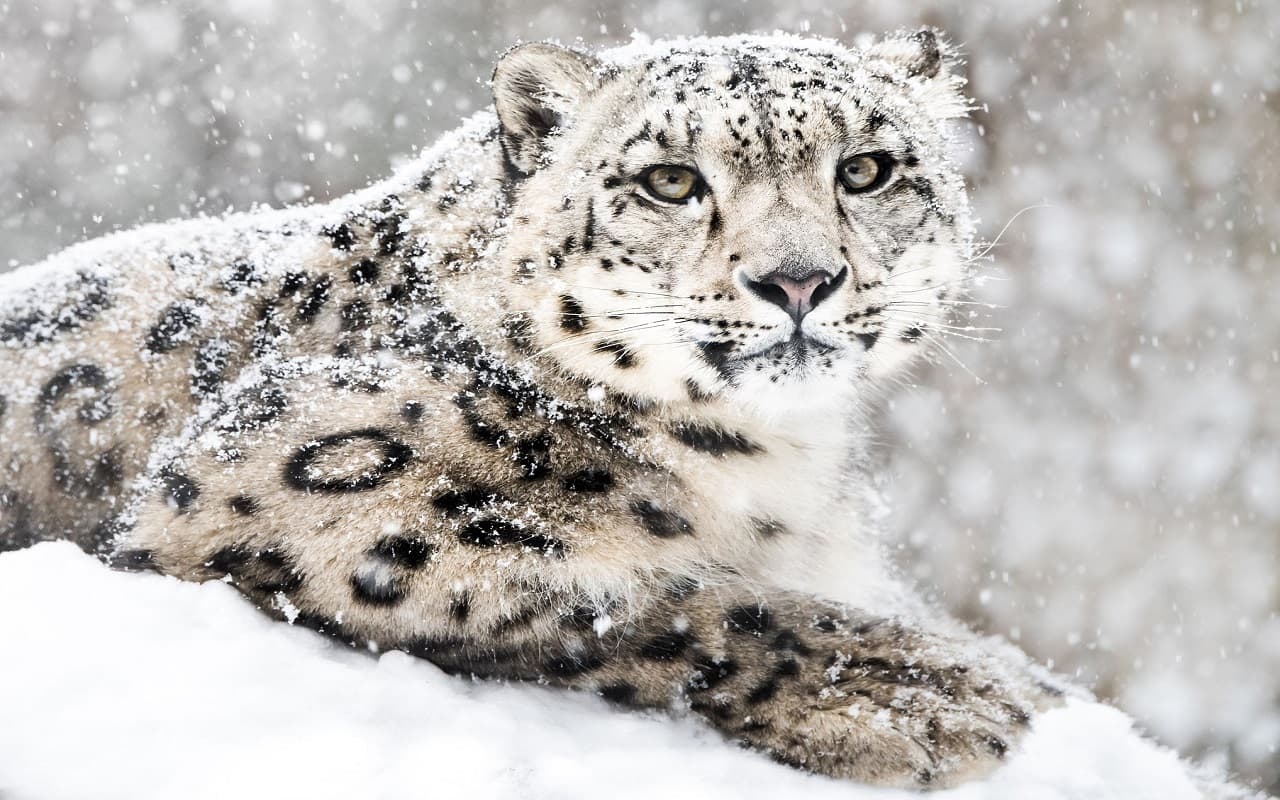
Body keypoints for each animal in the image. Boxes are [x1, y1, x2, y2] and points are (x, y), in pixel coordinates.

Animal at [0, 31, 1067, 790]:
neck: (776, 462)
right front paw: (923, 695)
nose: (798, 280)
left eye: (867, 168)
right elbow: (631, 597)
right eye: (671, 180)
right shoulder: (282, 489)